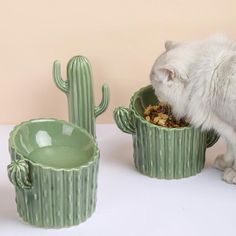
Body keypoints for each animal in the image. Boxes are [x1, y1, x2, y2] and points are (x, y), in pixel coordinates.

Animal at [150, 33, 236, 184]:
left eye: (155, 88)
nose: (156, 96)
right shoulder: (224, 126)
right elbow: (230, 149)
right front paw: (224, 164)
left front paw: (232, 174)